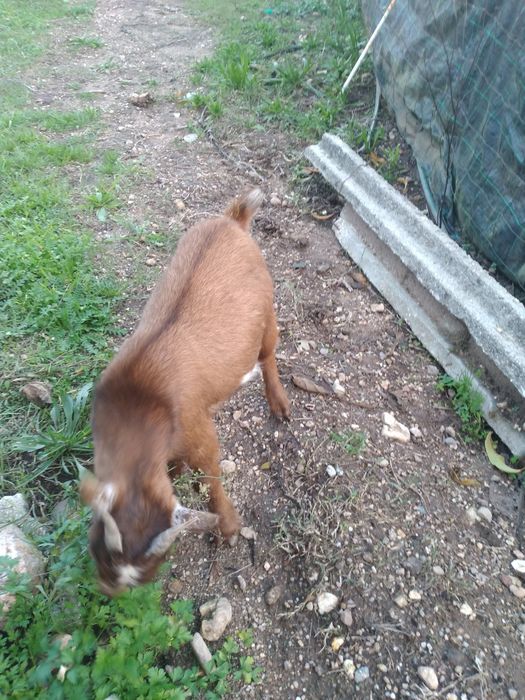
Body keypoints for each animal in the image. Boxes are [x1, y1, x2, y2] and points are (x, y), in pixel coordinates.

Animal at [80, 189, 290, 595]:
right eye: (97, 553)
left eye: (151, 568)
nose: (109, 592)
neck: (140, 399)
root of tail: (233, 220)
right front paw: (176, 471)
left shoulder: (198, 429)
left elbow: (210, 475)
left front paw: (228, 527)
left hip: (267, 305)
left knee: (268, 352)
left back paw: (279, 403)